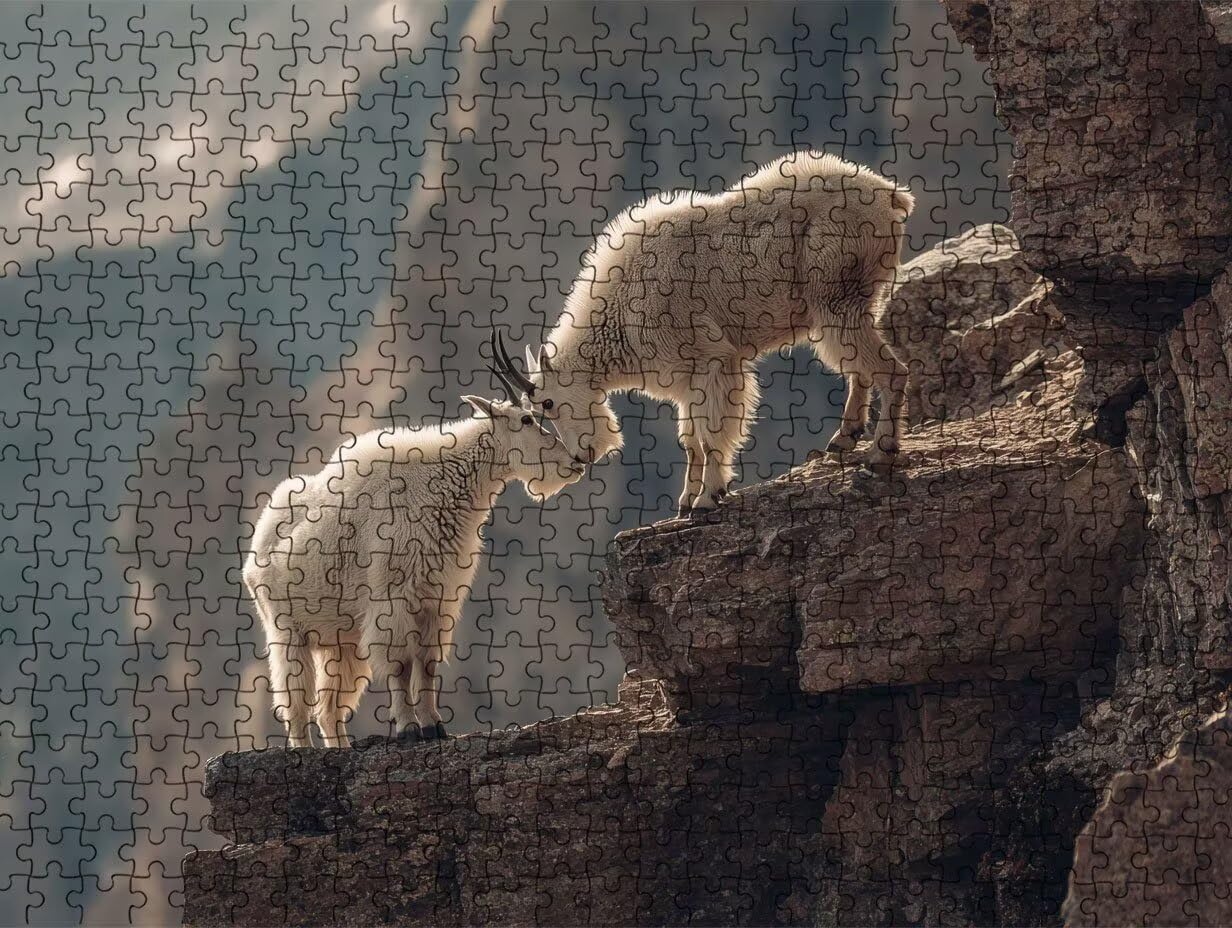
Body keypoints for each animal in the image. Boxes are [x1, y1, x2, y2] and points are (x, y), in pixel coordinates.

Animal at [243, 395, 585, 748]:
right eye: (527, 420)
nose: (576, 462)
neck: (443, 485)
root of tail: (261, 534)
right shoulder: (393, 600)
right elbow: (402, 665)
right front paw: (408, 728)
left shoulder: (436, 602)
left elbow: (428, 663)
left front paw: (434, 725)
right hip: (286, 630)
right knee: (294, 701)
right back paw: (304, 750)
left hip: (341, 643)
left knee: (328, 709)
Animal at [493, 150, 915, 514]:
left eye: (547, 404)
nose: (582, 455)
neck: (620, 310)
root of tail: (892, 196)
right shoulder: (685, 380)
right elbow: (690, 440)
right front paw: (685, 503)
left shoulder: (714, 362)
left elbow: (712, 434)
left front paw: (709, 498)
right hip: (853, 303)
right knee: (861, 367)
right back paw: (844, 439)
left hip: (834, 300)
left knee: (891, 370)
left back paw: (880, 454)